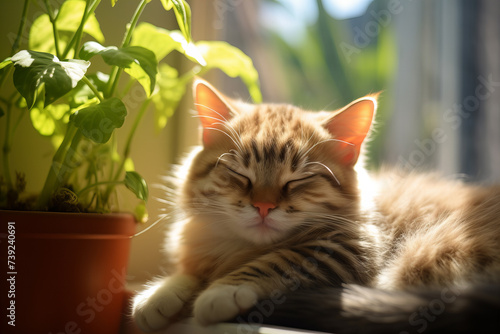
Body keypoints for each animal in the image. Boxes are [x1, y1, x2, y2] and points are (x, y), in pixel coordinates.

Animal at [133, 78, 500, 332]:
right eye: (240, 175)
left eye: (298, 180)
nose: (263, 206)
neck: (241, 248)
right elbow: (189, 271)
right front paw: (158, 294)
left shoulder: (346, 249)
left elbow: (275, 261)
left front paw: (222, 291)